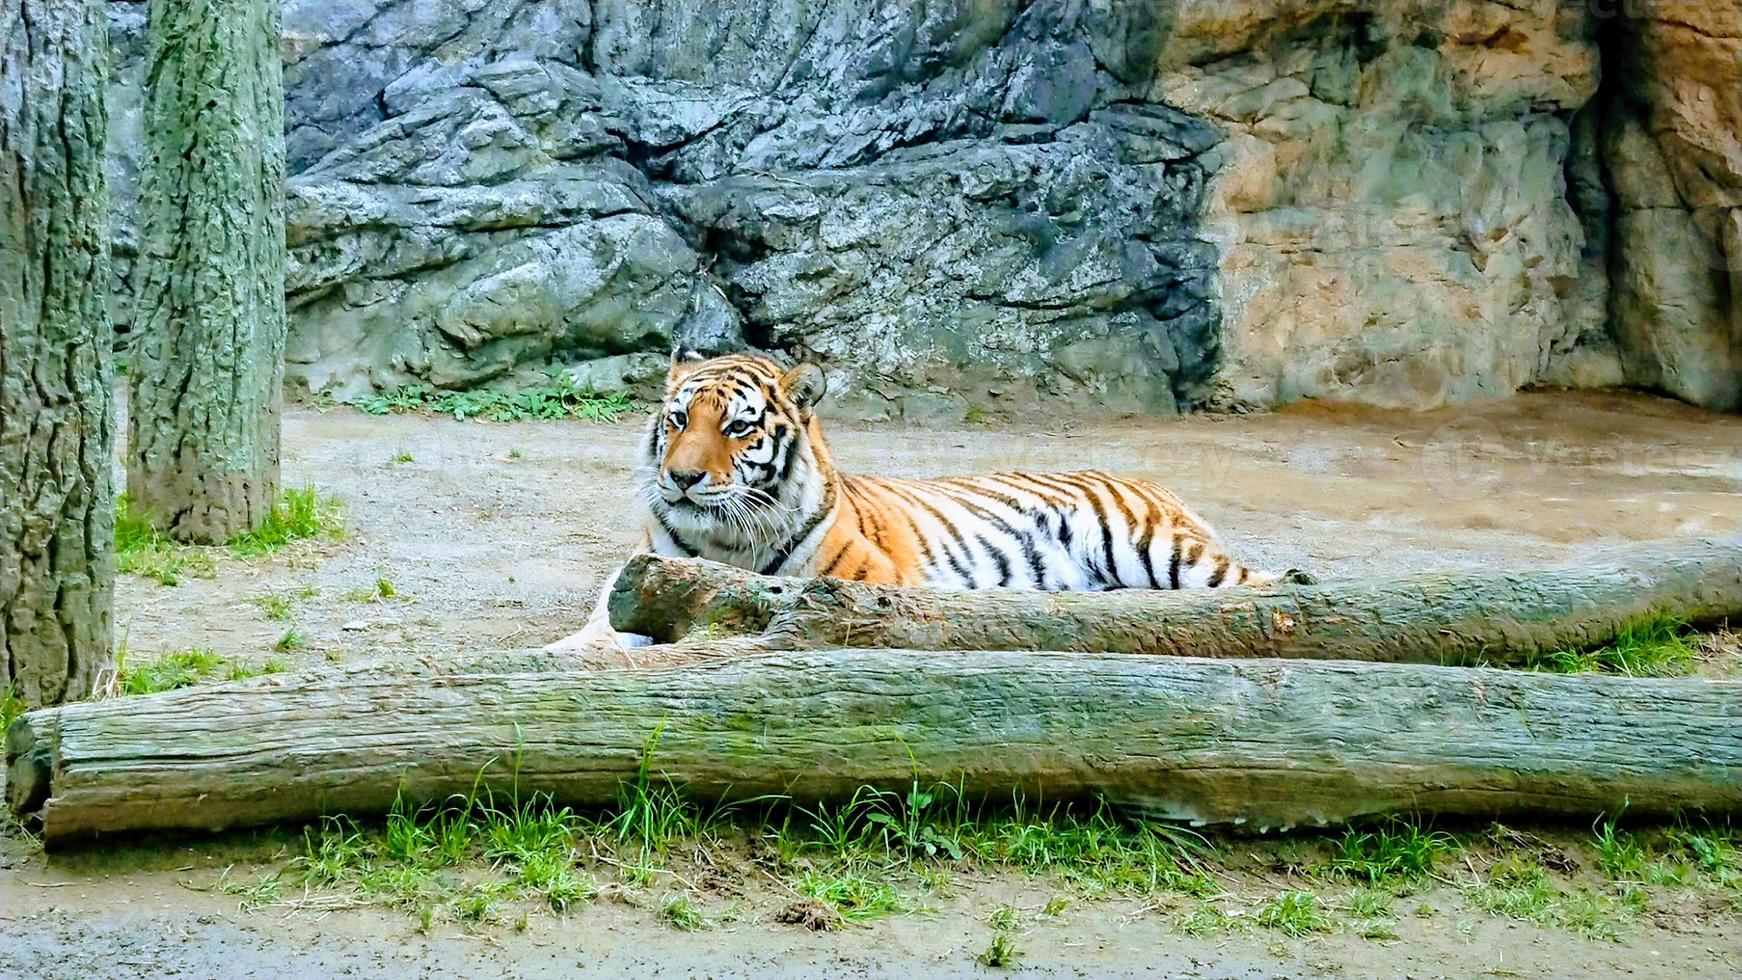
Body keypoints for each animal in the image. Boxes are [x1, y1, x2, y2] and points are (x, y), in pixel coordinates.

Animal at [543, 348, 1296, 654]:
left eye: (736, 427)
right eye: (677, 420)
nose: (681, 479)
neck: (723, 538)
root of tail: (1157, 483)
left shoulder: (871, 583)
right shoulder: (638, 581)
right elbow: (598, 630)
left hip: (1156, 548)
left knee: (1267, 584)